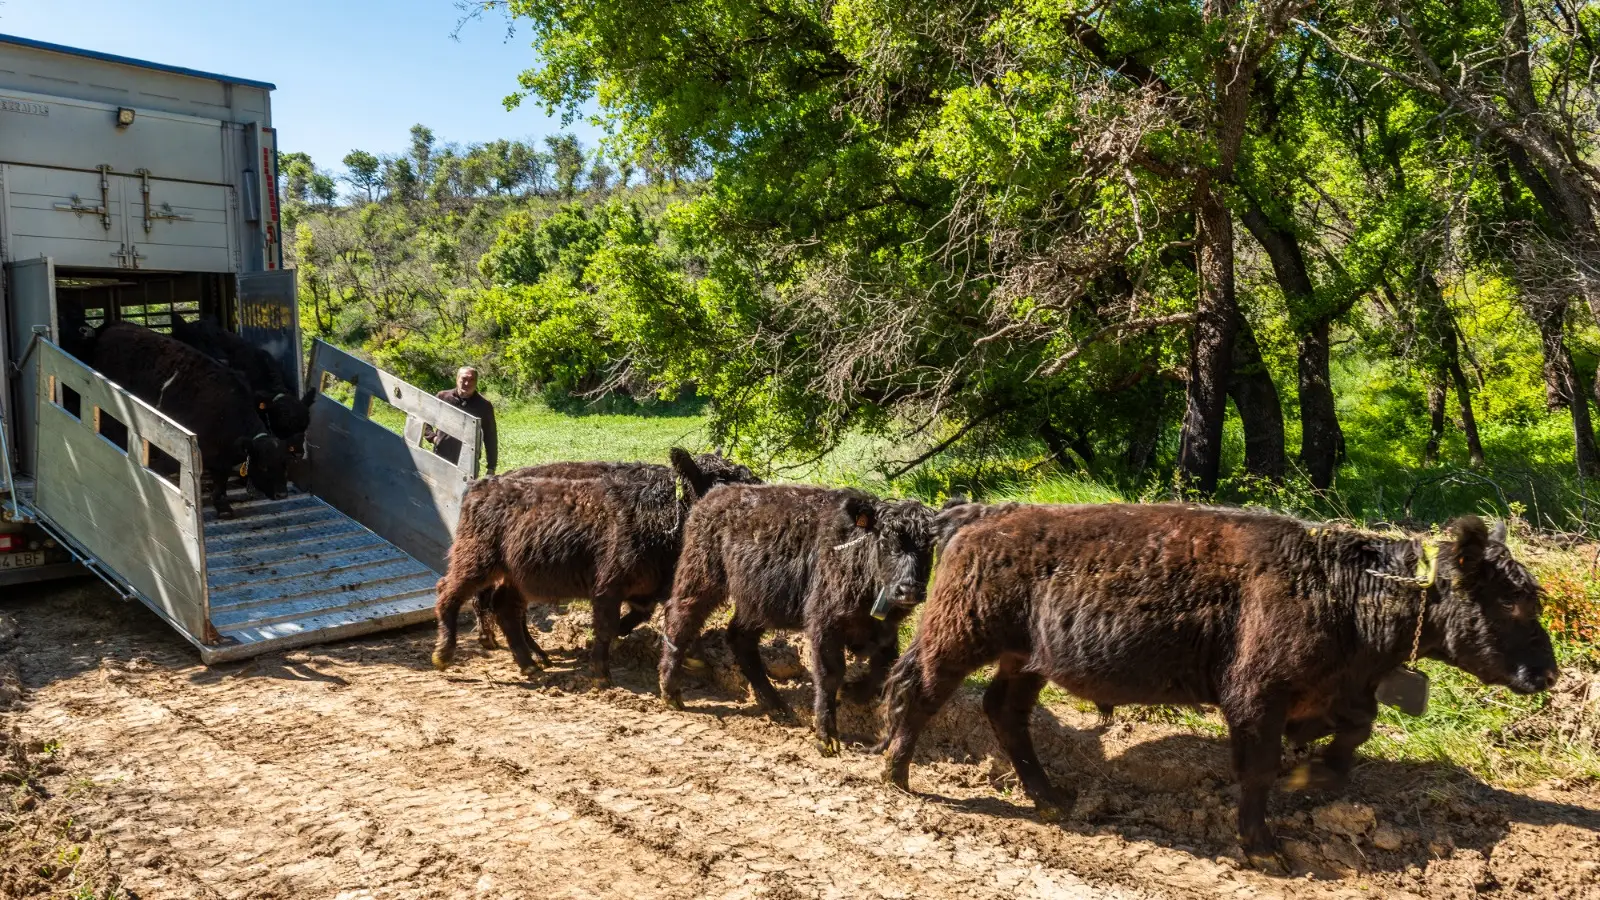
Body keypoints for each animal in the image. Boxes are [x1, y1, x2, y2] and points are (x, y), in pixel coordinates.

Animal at [87, 322, 291, 518]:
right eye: (263, 466)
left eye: (284, 463)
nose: (282, 494)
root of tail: (115, 326)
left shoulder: (222, 460)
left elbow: (221, 482)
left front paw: (223, 507)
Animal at [431, 449, 759, 686]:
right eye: (723, 483)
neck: (662, 515)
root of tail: (483, 484)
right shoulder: (608, 586)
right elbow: (607, 626)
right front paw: (601, 674)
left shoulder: (654, 587)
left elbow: (660, 618)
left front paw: (693, 658)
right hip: (476, 560)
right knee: (450, 592)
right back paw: (445, 654)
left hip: (517, 577)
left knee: (505, 608)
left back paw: (531, 663)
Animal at [657, 484, 938, 757]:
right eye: (886, 540)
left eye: (929, 546)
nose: (908, 589)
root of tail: (715, 495)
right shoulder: (824, 625)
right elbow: (829, 675)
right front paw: (827, 739)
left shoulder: (885, 631)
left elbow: (884, 668)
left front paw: (852, 691)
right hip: (701, 577)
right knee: (681, 616)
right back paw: (671, 692)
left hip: (758, 604)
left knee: (740, 638)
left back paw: (776, 705)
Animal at [878, 504, 1558, 870]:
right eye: (1512, 602)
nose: (1547, 674)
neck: (1339, 586)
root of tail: (981, 514)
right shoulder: (1257, 699)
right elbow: (1257, 769)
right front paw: (1264, 849)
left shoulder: (1335, 695)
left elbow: (1350, 738)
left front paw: (1308, 775)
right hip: (961, 637)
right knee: (920, 688)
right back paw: (897, 772)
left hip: (1027, 658)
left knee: (1004, 710)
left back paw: (1051, 797)